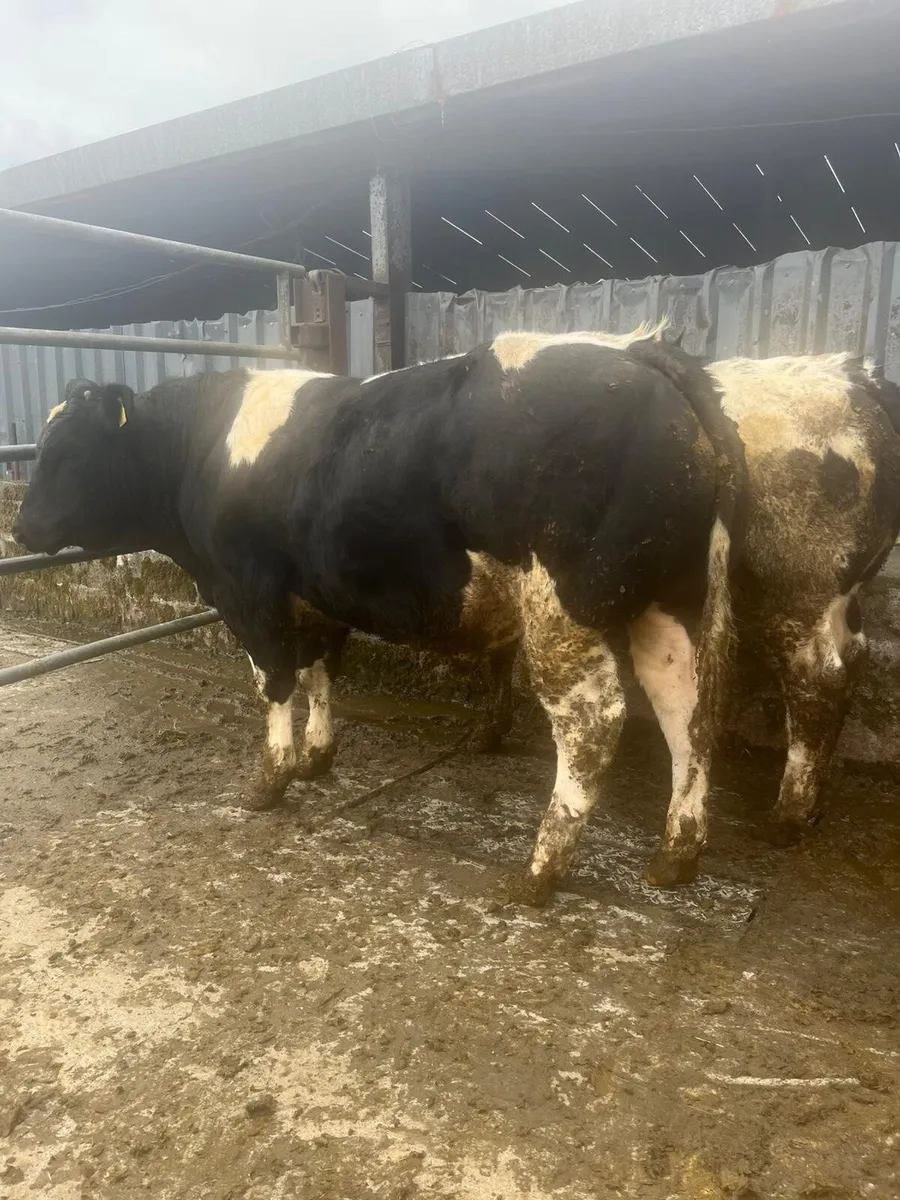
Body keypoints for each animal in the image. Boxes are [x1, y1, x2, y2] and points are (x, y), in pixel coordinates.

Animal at [13, 331, 745, 903]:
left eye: (68, 450)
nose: (20, 529)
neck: (201, 447)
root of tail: (637, 353)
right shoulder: (314, 591)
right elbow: (319, 671)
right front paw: (317, 756)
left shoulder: (248, 591)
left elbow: (274, 680)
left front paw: (271, 780)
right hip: (675, 599)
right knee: (688, 708)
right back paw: (676, 854)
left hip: (561, 611)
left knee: (594, 723)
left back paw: (541, 870)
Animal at [475, 340, 900, 845]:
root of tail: (854, 376)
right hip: (839, 595)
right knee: (853, 658)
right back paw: (814, 806)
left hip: (796, 590)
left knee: (818, 678)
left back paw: (787, 818)